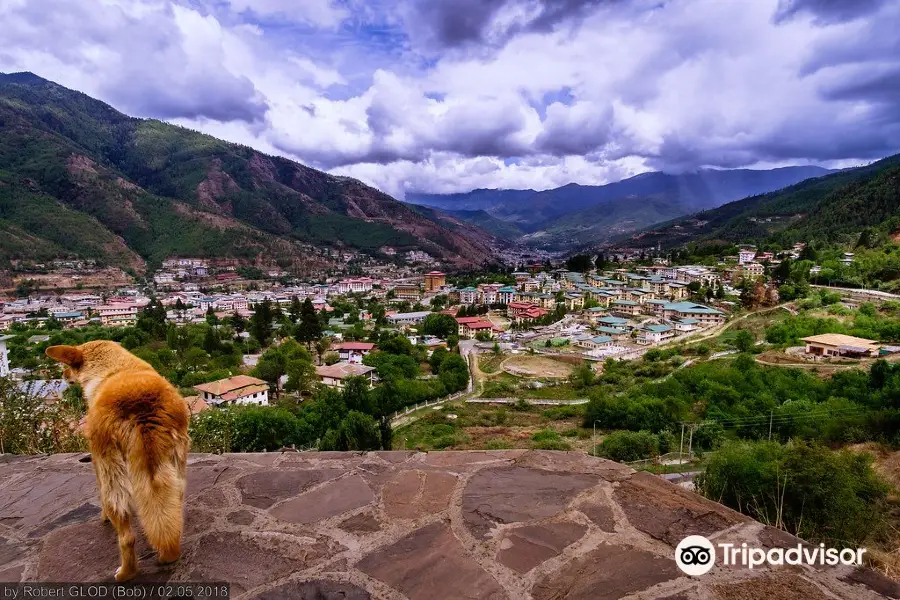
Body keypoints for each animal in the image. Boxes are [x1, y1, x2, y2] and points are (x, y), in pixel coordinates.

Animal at [46, 342, 190, 580]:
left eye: (70, 366)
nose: (63, 374)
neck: (113, 367)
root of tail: (140, 406)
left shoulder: (97, 461)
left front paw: (103, 516)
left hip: (113, 475)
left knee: (127, 537)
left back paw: (125, 573)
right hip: (175, 466)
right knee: (172, 510)